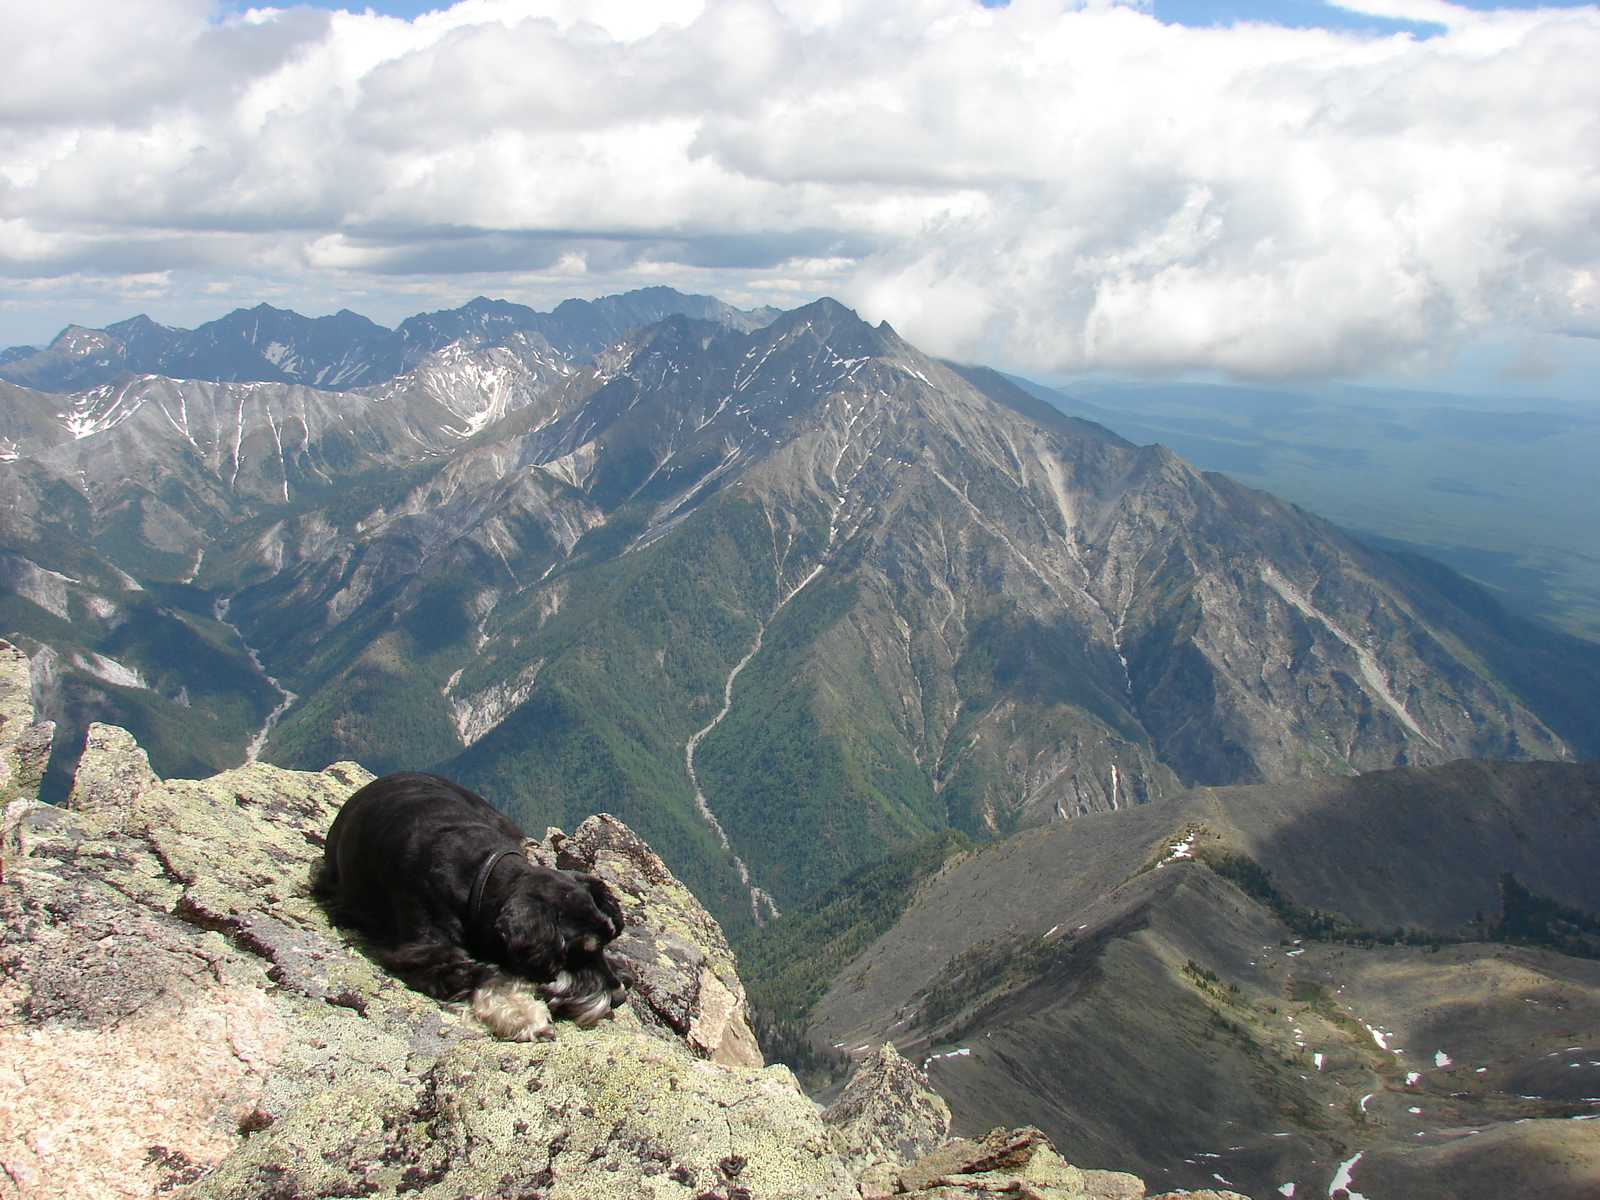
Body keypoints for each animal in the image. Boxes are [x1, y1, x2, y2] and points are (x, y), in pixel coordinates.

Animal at [312, 771, 630, 1043]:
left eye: (606, 942)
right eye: (575, 953)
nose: (619, 997)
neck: (480, 873)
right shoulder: (428, 954)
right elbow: (483, 978)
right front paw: (525, 1015)